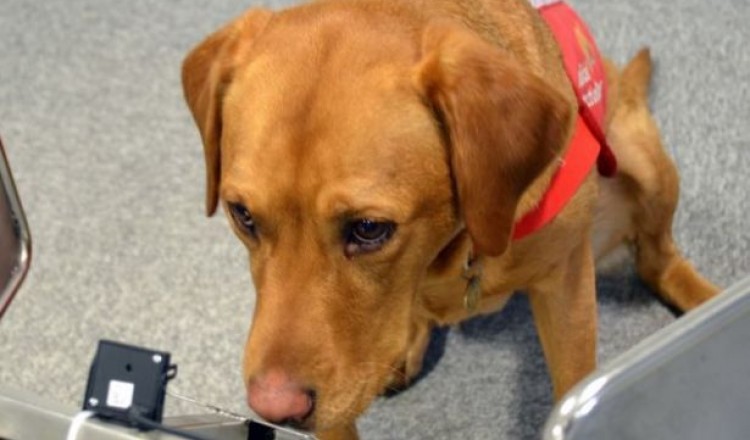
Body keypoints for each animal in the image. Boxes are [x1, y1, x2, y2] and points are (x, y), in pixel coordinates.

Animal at [181, 0, 719, 438]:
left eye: (369, 229)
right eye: (243, 215)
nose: (275, 409)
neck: (453, 250)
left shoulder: (565, 280)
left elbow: (573, 382)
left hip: (643, 160)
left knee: (657, 259)